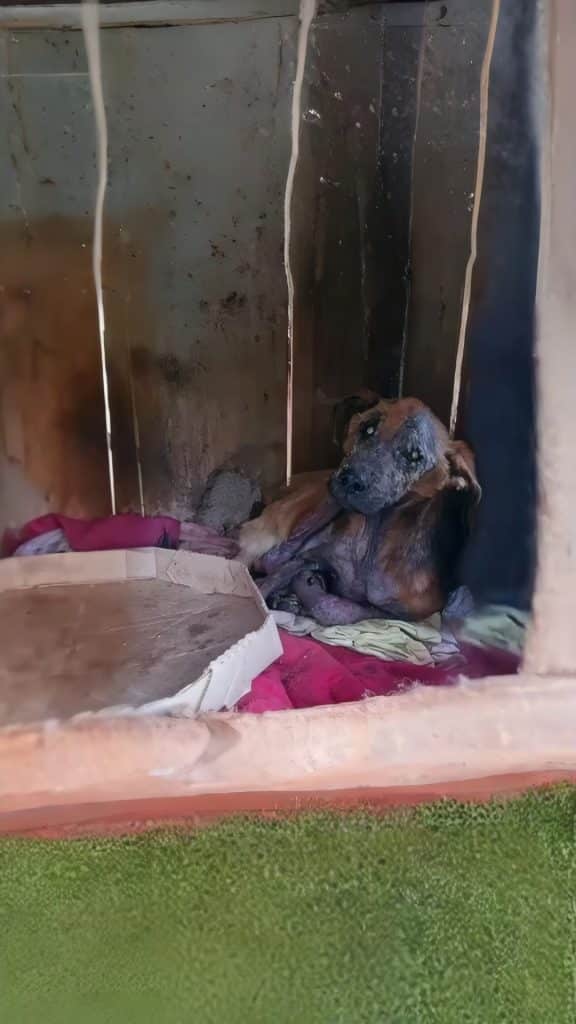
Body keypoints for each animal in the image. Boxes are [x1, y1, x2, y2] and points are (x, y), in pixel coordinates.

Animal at [238, 393, 480, 625]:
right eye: (368, 428)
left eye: (414, 456)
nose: (351, 480)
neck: (372, 540)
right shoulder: (305, 557)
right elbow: (268, 582)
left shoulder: (407, 614)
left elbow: (338, 610)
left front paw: (309, 594)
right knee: (271, 557)